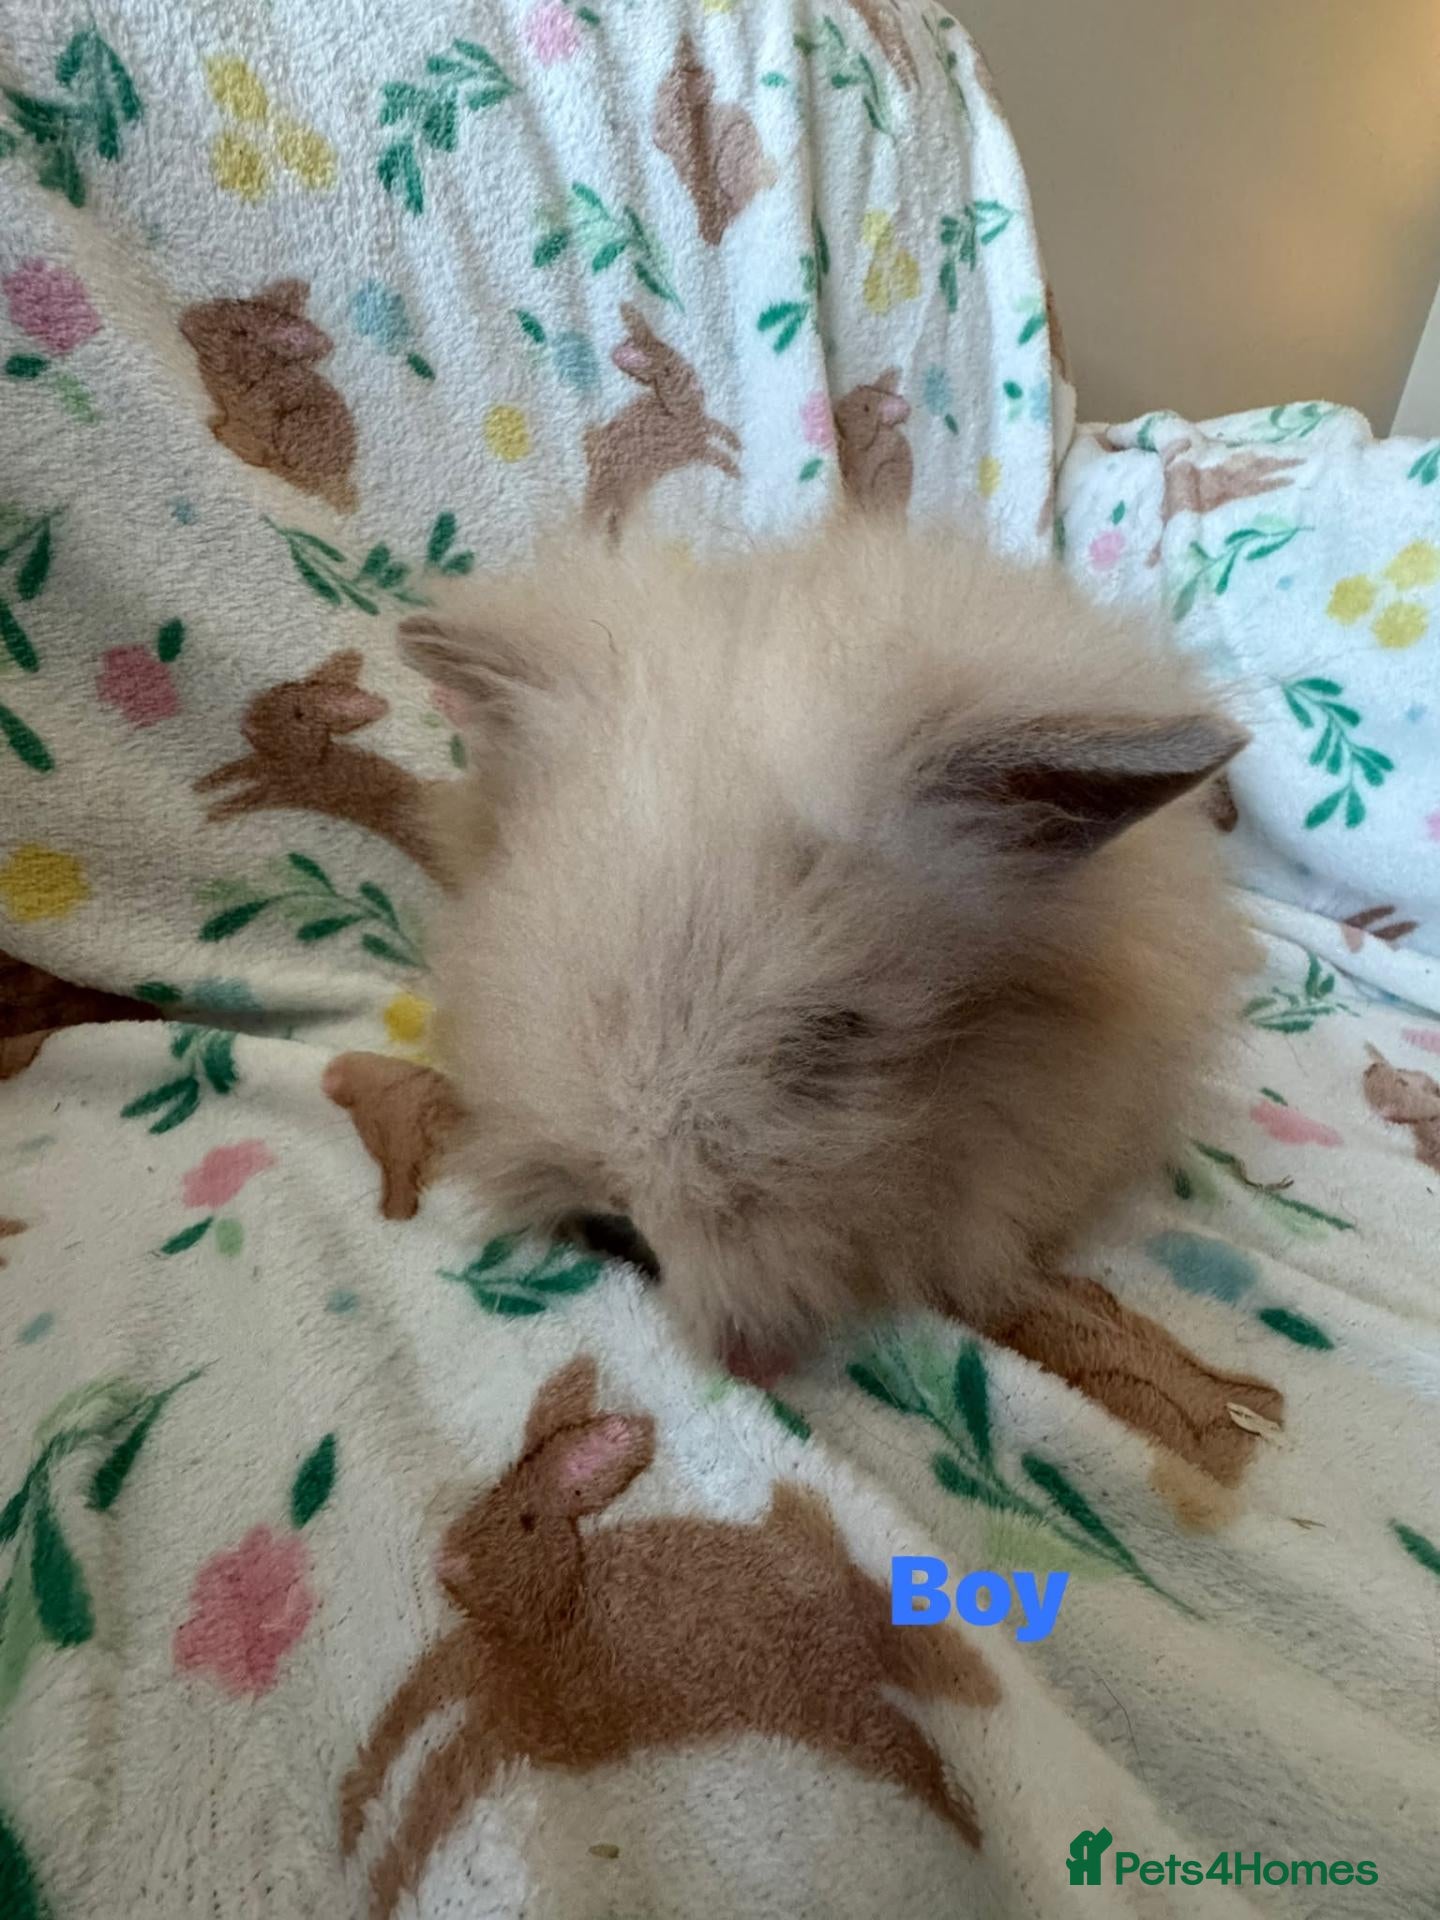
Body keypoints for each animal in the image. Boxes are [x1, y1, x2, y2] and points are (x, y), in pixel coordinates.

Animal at [339, 1356, 997, 1918]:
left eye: (524, 1521)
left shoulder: (519, 1722)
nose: (444, 1558)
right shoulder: (478, 1673)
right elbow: (406, 1720)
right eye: (485, 1500)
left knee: (907, 1746)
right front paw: (352, 1821)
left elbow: (435, 1790)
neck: (560, 1615)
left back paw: (966, 1820)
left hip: (830, 1704)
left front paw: (381, 1881)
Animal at [582, 303, 741, 543]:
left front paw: (736, 442)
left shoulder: (700, 425)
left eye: (628, 341)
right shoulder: (695, 445)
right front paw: (736, 471)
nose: (626, 306)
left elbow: (717, 428)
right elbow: (718, 455)